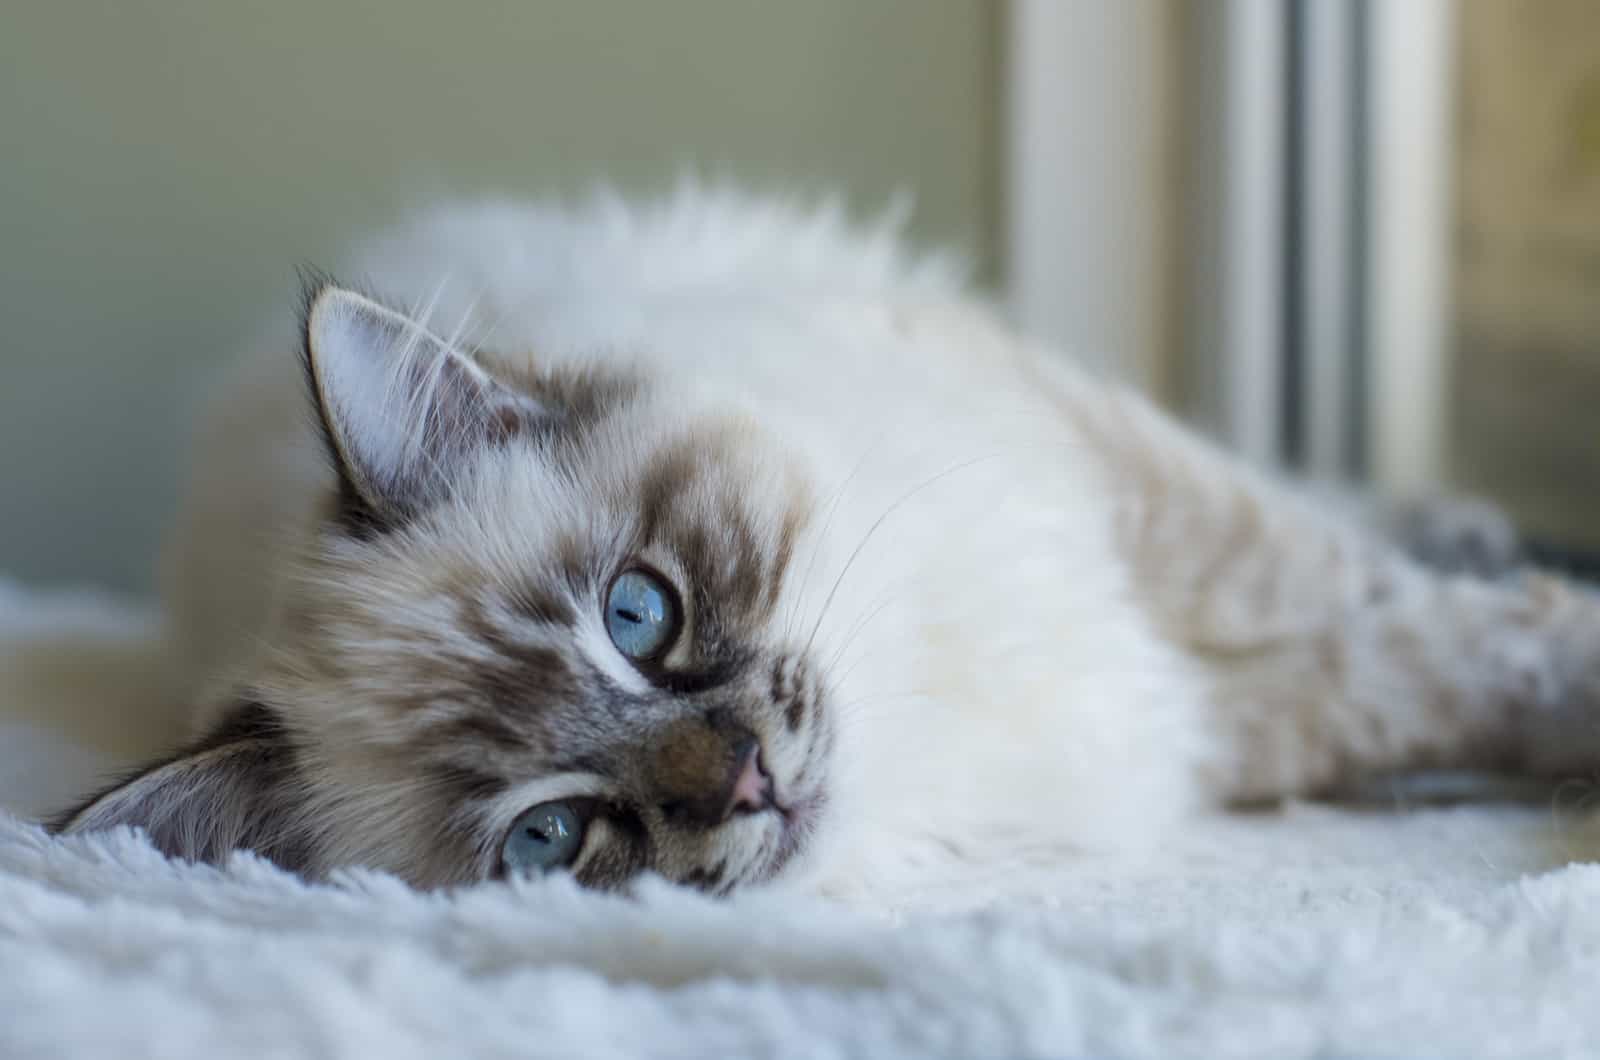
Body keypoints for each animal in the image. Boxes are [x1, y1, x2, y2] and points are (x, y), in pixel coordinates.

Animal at [56, 192, 1600, 903]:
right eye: (551, 837)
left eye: (636, 614)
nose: (746, 779)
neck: (918, 703)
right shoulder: (1191, 711)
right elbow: (1389, 681)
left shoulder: (1120, 493)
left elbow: (1375, 604)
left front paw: (1548, 639)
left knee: (1340, 512)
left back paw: (1469, 525)